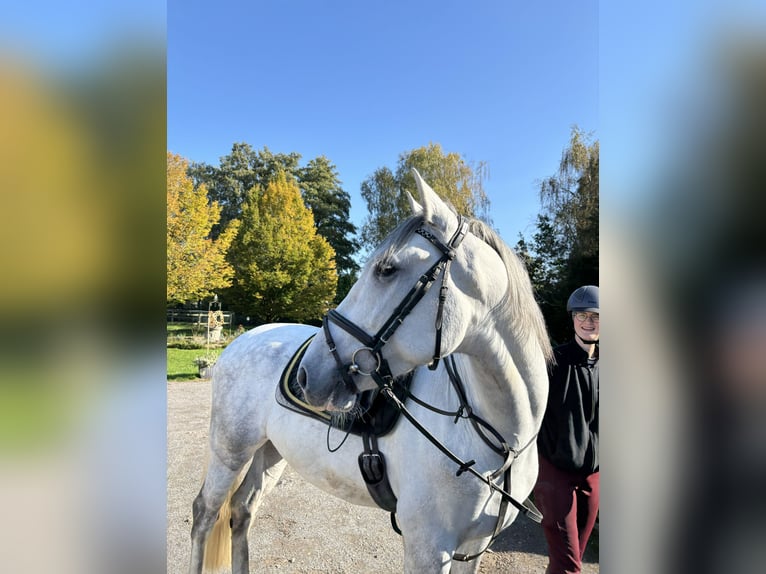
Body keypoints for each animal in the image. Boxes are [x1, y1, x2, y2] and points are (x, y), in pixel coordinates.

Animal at [189, 171, 556, 574]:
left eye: (386, 269)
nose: (306, 376)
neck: (501, 437)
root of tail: (242, 340)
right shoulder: (428, 548)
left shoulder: (471, 548)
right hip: (229, 451)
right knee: (205, 513)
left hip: (269, 453)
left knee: (241, 511)